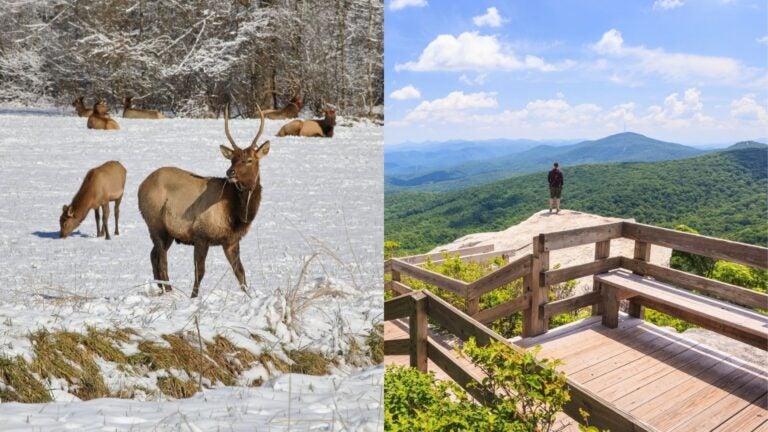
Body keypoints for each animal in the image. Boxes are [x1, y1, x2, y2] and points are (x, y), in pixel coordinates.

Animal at [137, 105, 270, 298]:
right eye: (232, 159)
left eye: (249, 160)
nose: (230, 172)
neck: (236, 215)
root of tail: (140, 187)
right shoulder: (201, 235)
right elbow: (199, 271)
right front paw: (193, 297)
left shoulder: (231, 240)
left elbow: (240, 272)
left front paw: (250, 296)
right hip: (155, 223)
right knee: (161, 259)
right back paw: (169, 291)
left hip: (168, 232)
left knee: (153, 255)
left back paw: (162, 289)